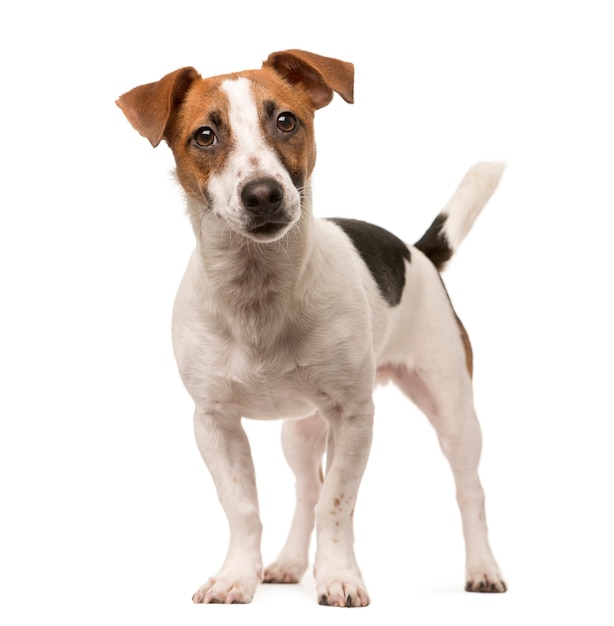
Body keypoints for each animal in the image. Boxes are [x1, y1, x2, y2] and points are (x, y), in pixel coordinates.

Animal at [118, 48, 508, 604]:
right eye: (204, 135)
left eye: (286, 121)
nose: (263, 194)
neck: (258, 292)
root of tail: (418, 253)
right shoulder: (213, 421)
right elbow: (244, 508)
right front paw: (237, 576)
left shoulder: (354, 416)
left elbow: (337, 503)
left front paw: (340, 576)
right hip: (299, 431)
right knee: (307, 488)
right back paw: (288, 563)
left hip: (452, 408)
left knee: (468, 489)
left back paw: (483, 568)